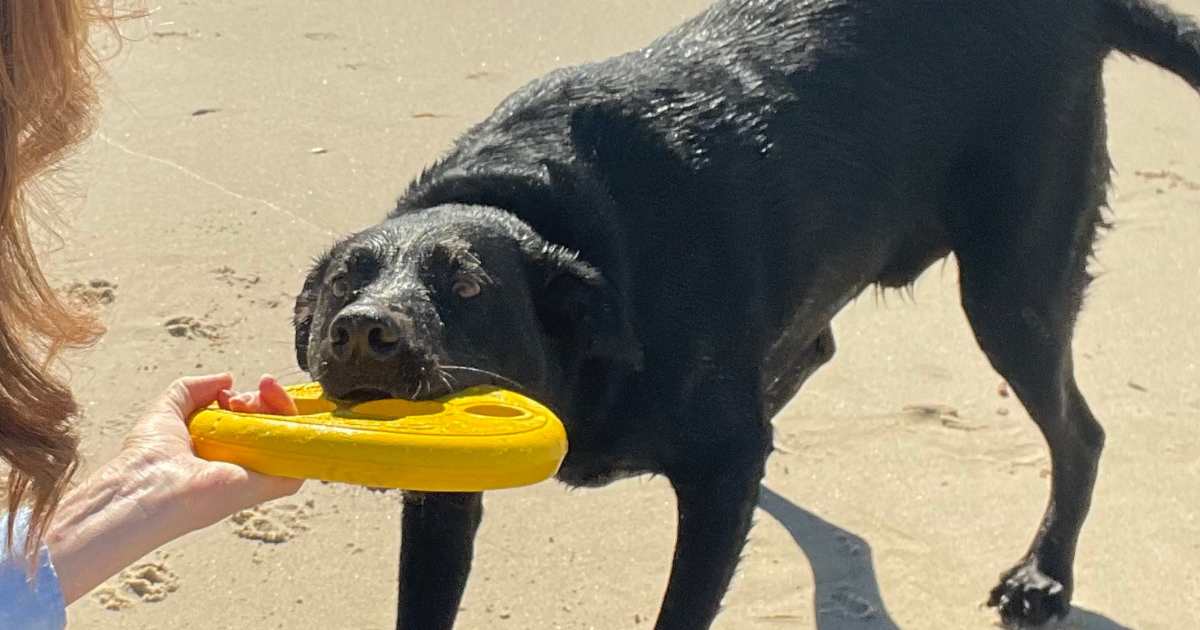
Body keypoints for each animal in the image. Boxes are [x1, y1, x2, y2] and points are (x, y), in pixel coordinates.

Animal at [292, 2, 1200, 624]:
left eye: (470, 286)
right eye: (343, 280)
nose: (365, 331)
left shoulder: (720, 468)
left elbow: (686, 601)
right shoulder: (443, 496)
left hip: (1013, 293)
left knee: (1081, 433)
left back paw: (1046, 576)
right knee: (816, 347)